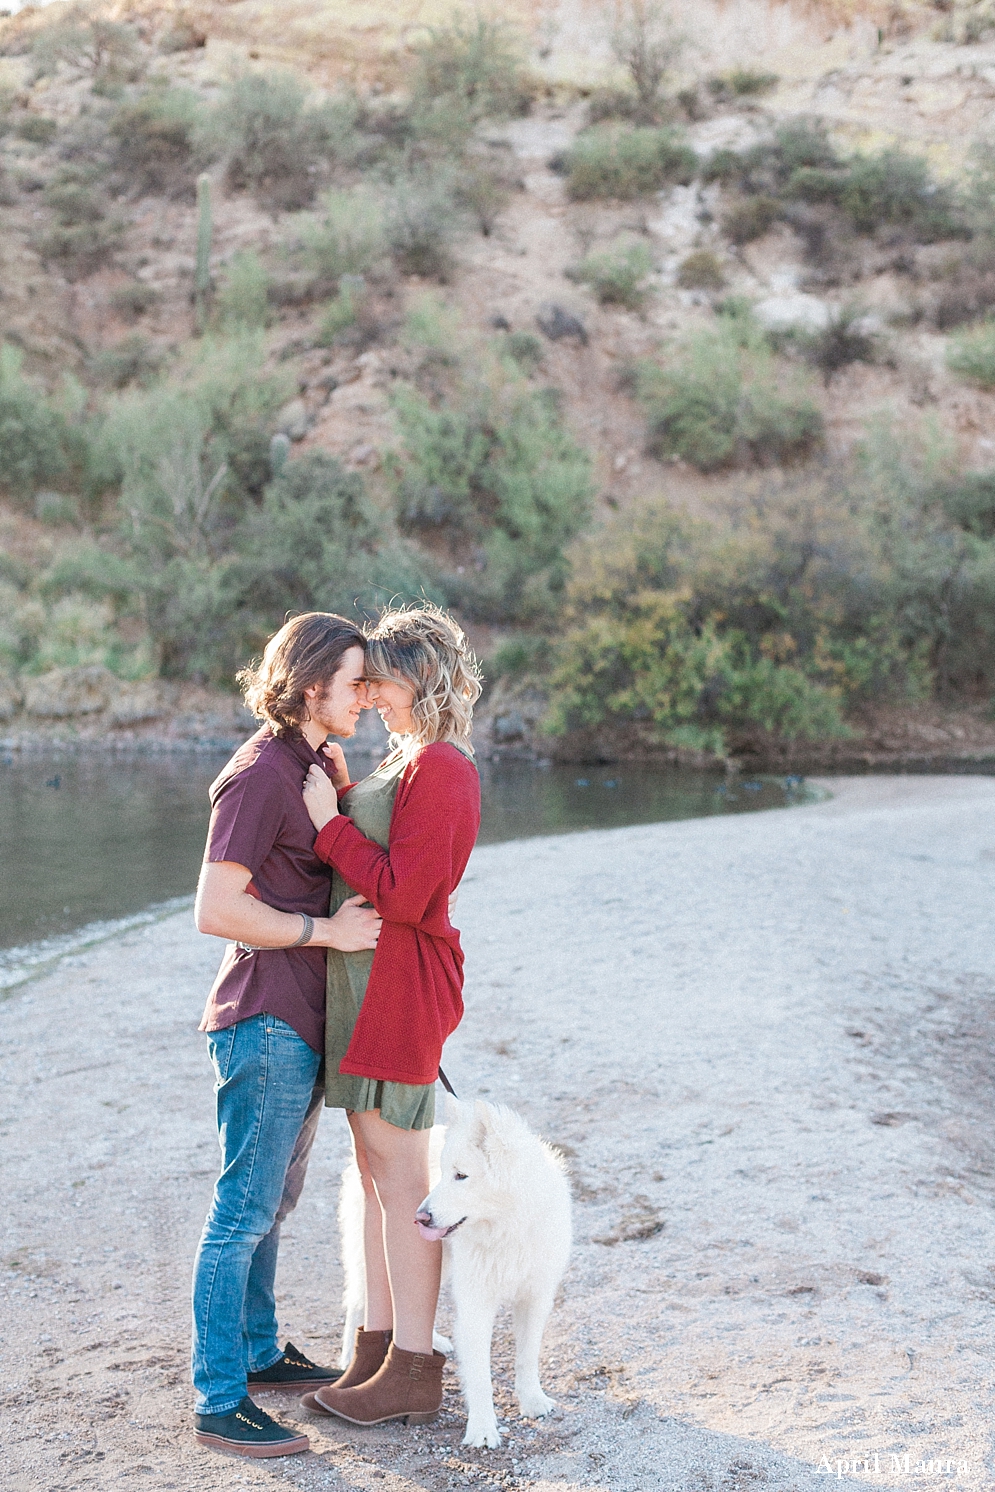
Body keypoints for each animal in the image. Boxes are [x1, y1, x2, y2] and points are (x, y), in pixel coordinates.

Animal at [337, 1098, 566, 1444]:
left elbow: (527, 1357)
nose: (419, 1217)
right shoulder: (476, 1304)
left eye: (461, 1176)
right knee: (358, 1301)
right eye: (445, 1174)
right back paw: (349, 1360)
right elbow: (480, 1374)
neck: (506, 1228)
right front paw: (483, 1430)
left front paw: (532, 1401)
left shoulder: (535, 1298)